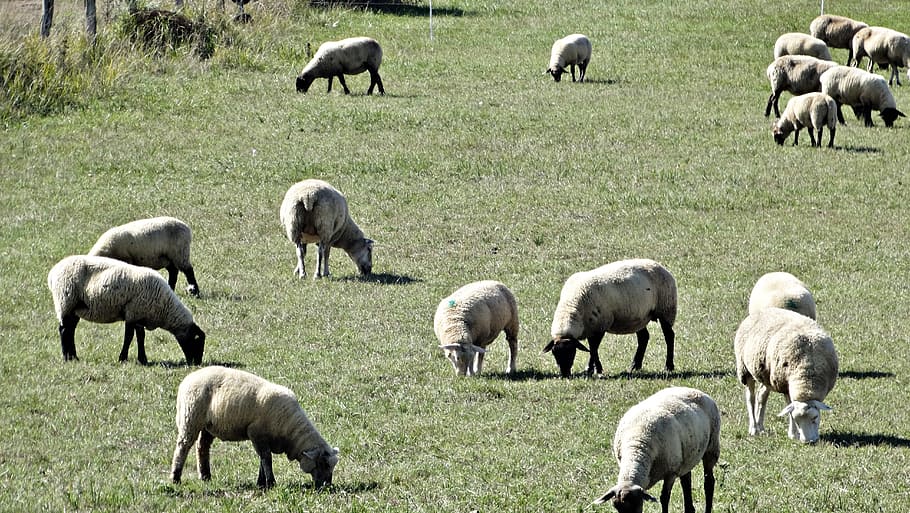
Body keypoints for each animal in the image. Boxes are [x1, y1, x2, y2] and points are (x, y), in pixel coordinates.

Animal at [47, 255, 205, 365]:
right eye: (197, 342)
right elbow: (129, 337)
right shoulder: (133, 313)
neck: (164, 307)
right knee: (64, 330)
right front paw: (123, 358)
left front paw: (142, 359)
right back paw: (67, 357)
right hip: (65, 301)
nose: (196, 364)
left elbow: (140, 337)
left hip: (75, 308)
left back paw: (74, 357)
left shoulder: (139, 314)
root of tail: (53, 273)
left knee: (70, 330)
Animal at [170, 366, 339, 489]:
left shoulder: (264, 439)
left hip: (208, 426)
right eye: (323, 464)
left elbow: (262, 460)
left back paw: (205, 476)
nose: (327, 486)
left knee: (202, 447)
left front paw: (261, 482)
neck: (290, 429)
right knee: (183, 447)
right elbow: (266, 459)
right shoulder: (257, 433)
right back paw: (176, 478)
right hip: (190, 417)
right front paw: (271, 483)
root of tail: (188, 378)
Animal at [543, 259, 677, 378]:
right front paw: (591, 369)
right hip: (639, 317)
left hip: (666, 309)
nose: (565, 374)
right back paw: (635, 366)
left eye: (572, 352)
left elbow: (593, 348)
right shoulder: (592, 327)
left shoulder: (600, 326)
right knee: (644, 337)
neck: (571, 307)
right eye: (554, 353)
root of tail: (660, 265)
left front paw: (596, 369)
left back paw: (668, 366)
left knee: (669, 336)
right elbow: (592, 349)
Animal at [591, 386, 720, 513]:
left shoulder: (671, 472)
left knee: (709, 482)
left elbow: (664, 498)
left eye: (637, 505)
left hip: (712, 447)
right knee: (686, 481)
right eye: (616, 507)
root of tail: (694, 389)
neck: (637, 446)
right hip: (685, 457)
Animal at [734, 307, 838, 443]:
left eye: (815, 417)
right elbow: (789, 408)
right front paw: (793, 434)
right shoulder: (785, 385)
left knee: (761, 396)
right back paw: (754, 428)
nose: (808, 441)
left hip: (767, 375)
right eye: (797, 421)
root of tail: (763, 310)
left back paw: (761, 427)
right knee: (750, 398)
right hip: (745, 370)